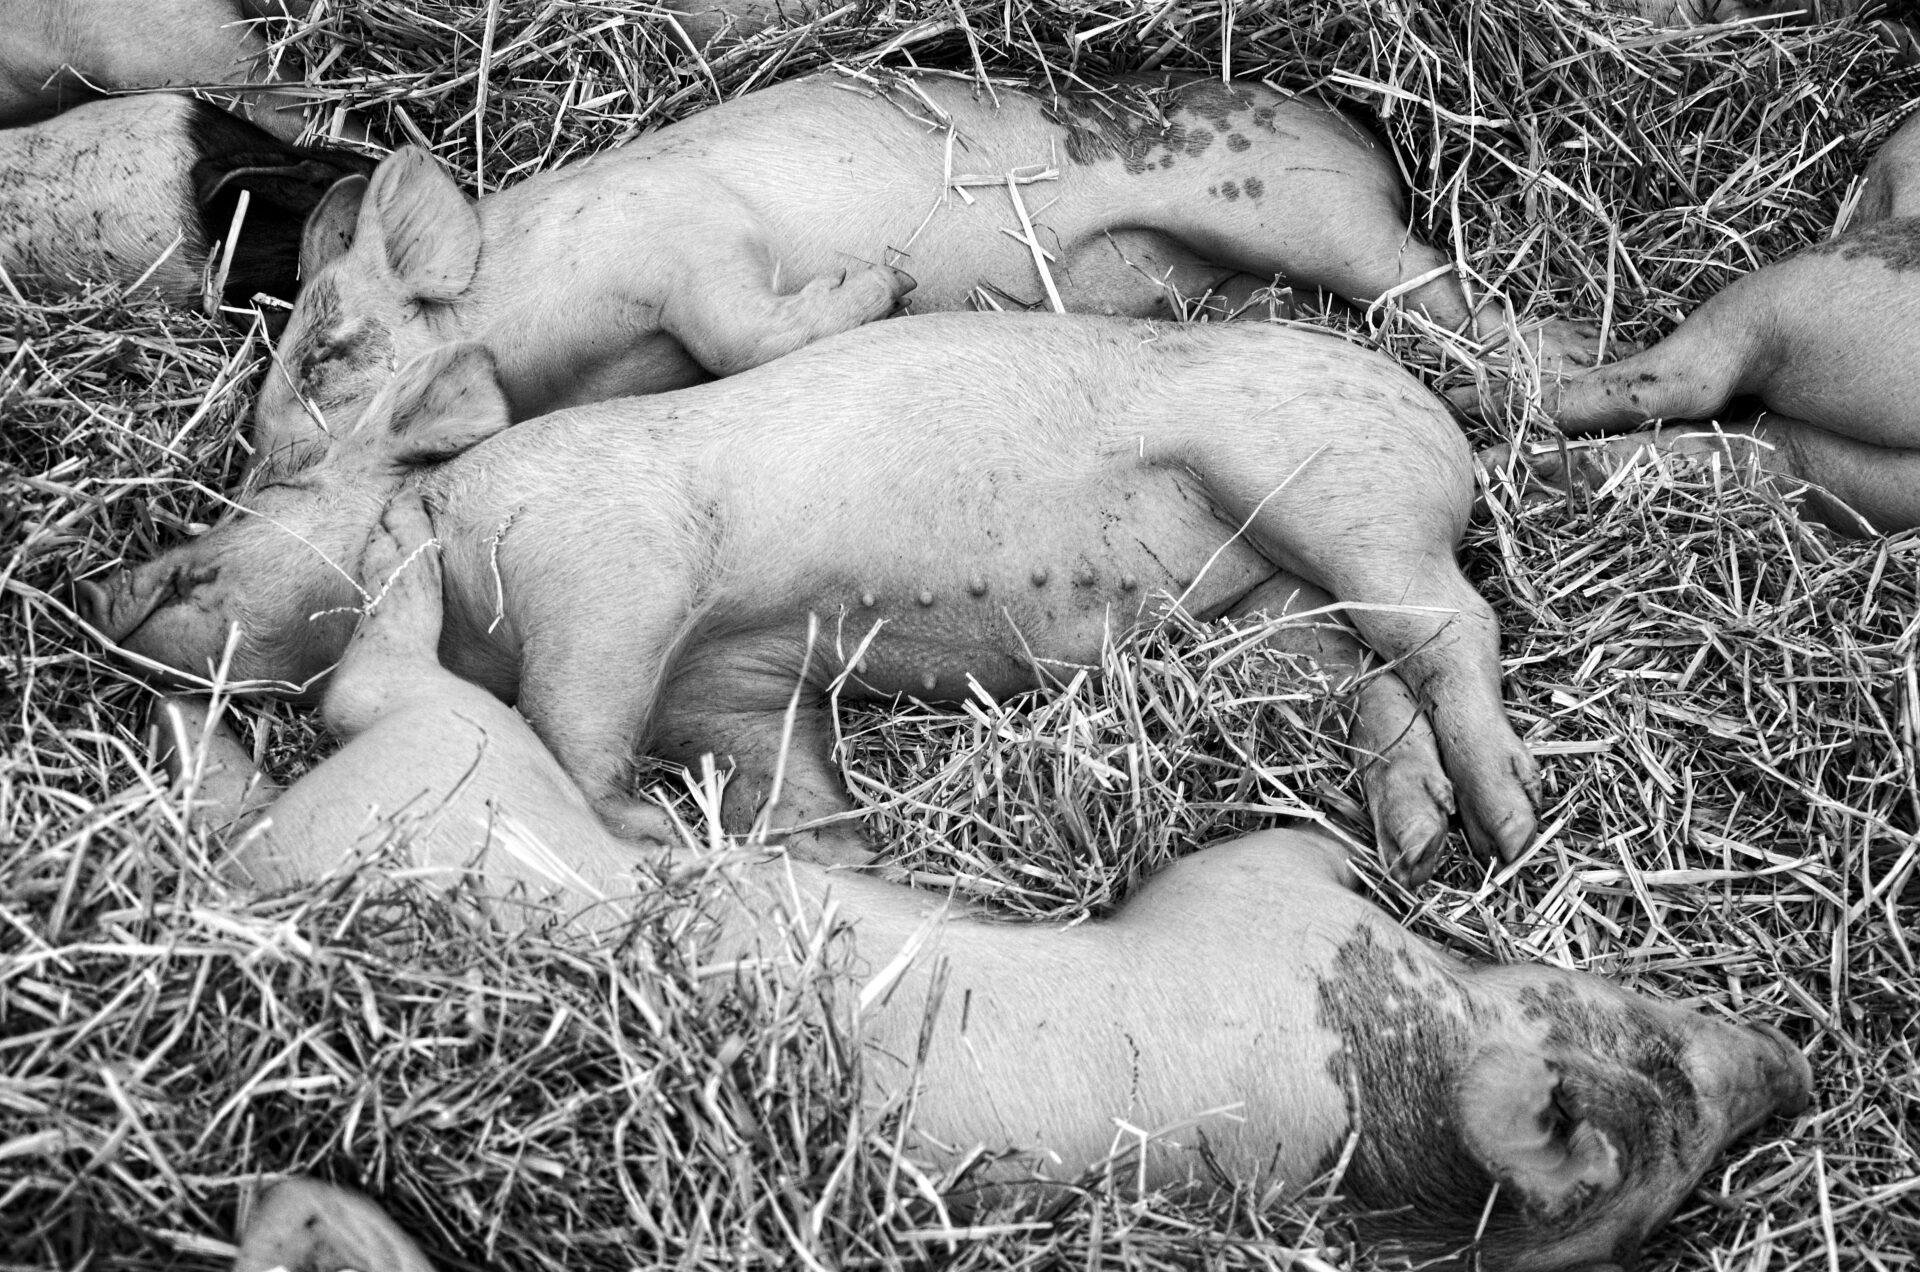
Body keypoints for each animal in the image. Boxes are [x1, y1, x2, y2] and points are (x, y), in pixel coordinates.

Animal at [85, 311, 1539, 883]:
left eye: (208, 554)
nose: (103, 588)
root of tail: (1452, 431)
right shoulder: (728, 690)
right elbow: (783, 768)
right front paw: (842, 854)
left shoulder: (614, 569)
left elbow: (572, 717)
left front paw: (643, 830)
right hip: (1267, 607)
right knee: (1364, 681)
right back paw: (1420, 838)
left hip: (1330, 484)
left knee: (1451, 627)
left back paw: (1513, 824)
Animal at [181, 490, 1813, 1272]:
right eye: (1664, 1060)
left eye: (1663, 1178)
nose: (1792, 1066)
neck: (1395, 1092)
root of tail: (265, 883)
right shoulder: (1266, 901)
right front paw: (1415, 845)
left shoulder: (1259, 902)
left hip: (455, 759)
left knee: (367, 692)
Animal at [247, 67, 1607, 466]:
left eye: (326, 352)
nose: (261, 464)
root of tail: (1366, 132)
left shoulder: (685, 236)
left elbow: (742, 327)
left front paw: (886, 286)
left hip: (1298, 204)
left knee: (1437, 286)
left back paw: (1556, 362)